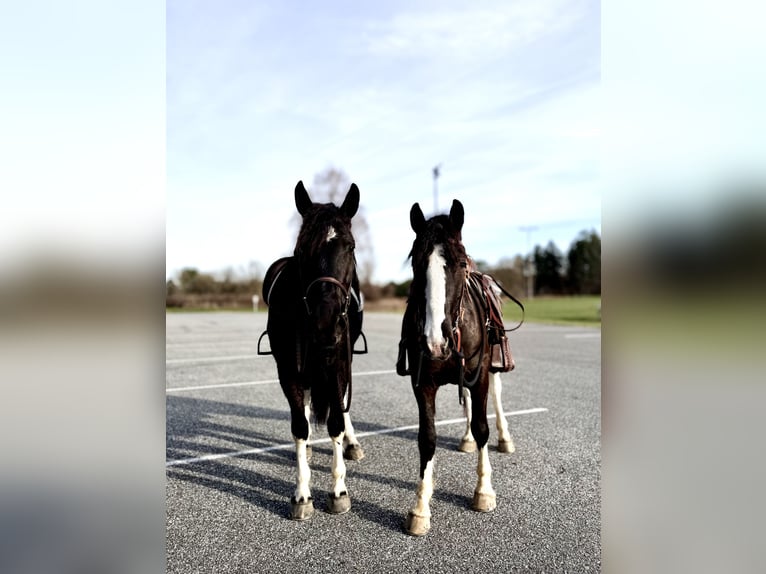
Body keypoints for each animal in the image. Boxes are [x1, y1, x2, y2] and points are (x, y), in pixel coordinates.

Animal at [260, 180, 365, 521]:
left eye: (350, 247)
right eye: (301, 249)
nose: (325, 323)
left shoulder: (338, 365)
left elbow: (335, 422)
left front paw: (338, 491)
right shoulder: (288, 369)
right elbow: (300, 427)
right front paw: (302, 495)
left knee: (341, 407)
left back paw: (352, 443)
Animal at [398, 199, 516, 536]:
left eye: (461, 264)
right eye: (416, 264)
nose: (435, 340)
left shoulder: (480, 376)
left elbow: (482, 427)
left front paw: (484, 492)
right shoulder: (422, 383)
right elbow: (428, 438)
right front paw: (420, 507)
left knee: (495, 400)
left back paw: (504, 437)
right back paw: (465, 439)